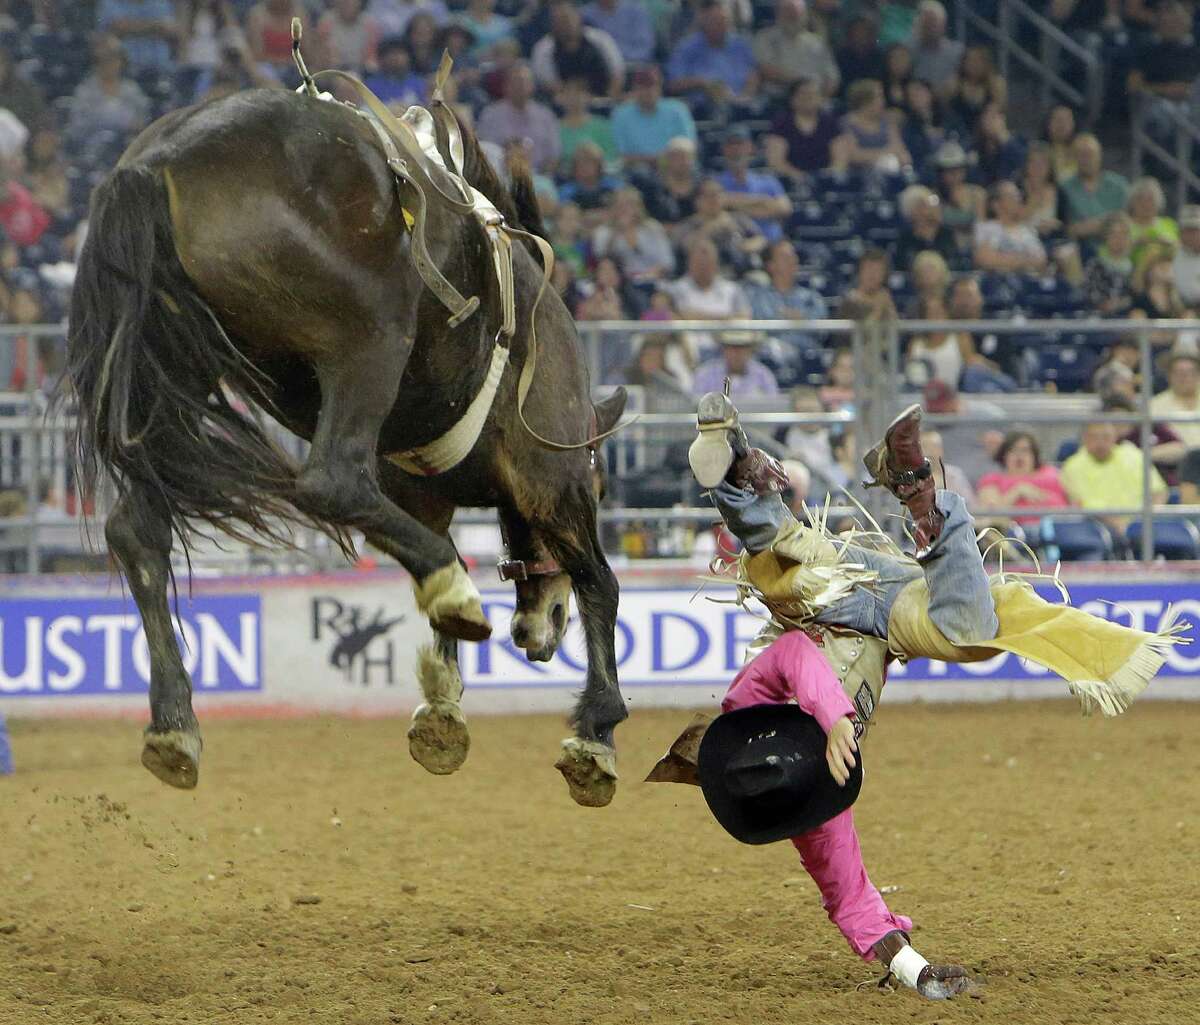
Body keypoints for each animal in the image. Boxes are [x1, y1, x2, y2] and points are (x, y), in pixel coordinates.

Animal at [66, 83, 629, 807]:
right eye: (602, 479)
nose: (539, 627)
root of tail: (155, 162)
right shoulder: (550, 473)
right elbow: (600, 581)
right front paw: (596, 733)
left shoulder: (421, 492)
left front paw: (443, 711)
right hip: (369, 338)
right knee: (333, 482)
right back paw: (454, 585)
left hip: (167, 381)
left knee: (137, 530)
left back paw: (173, 725)